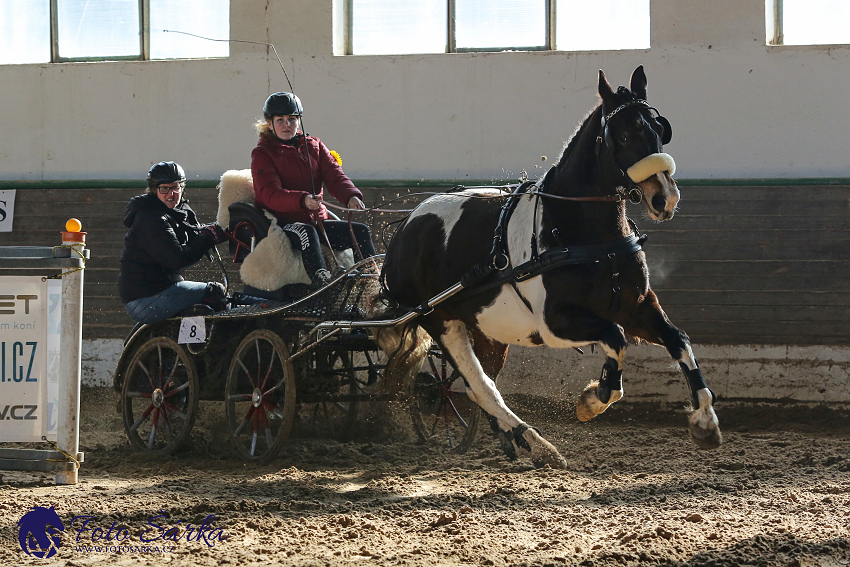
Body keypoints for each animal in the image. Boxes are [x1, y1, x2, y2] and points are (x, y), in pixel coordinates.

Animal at [380, 65, 720, 470]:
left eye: (658, 128)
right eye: (622, 134)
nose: (664, 197)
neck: (586, 237)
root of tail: (405, 227)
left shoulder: (636, 307)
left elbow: (678, 340)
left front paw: (705, 420)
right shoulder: (556, 323)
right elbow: (615, 340)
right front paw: (593, 399)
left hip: (486, 330)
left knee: (482, 385)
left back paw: (512, 440)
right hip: (441, 320)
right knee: (480, 386)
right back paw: (538, 444)